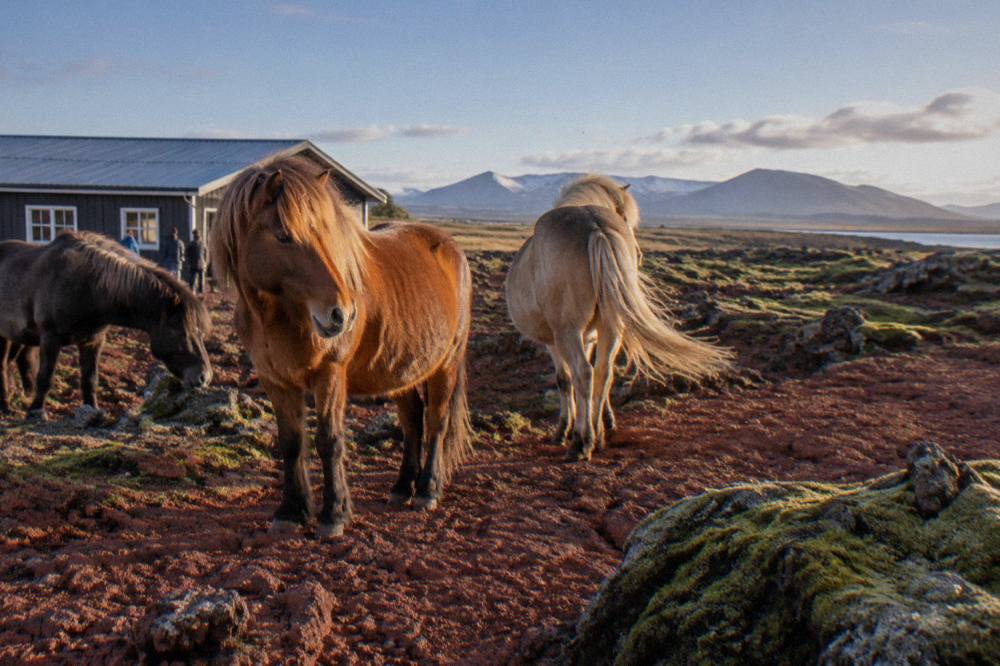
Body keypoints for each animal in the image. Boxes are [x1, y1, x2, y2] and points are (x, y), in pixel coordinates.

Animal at [0, 230, 213, 418]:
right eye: (181, 332)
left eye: (199, 333)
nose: (205, 377)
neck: (87, 286)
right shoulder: (50, 338)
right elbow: (45, 377)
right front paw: (36, 412)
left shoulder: (93, 341)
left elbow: (90, 379)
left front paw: (92, 410)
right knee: (3, 366)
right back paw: (6, 407)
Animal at [211, 156, 472, 539]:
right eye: (283, 235)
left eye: (324, 232)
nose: (342, 314)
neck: (280, 317)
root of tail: (452, 249)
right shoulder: (276, 380)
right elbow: (291, 444)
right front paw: (292, 512)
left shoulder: (330, 375)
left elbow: (329, 441)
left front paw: (334, 515)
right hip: (403, 370)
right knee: (413, 422)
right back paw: (401, 488)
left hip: (446, 364)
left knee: (437, 422)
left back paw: (427, 490)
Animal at [505, 175, 732, 461]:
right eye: (624, 217)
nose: (640, 255)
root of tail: (596, 227)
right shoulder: (589, 337)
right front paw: (604, 421)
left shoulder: (554, 340)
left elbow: (564, 380)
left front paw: (564, 429)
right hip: (610, 327)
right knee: (603, 372)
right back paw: (597, 437)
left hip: (568, 331)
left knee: (584, 373)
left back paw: (581, 442)